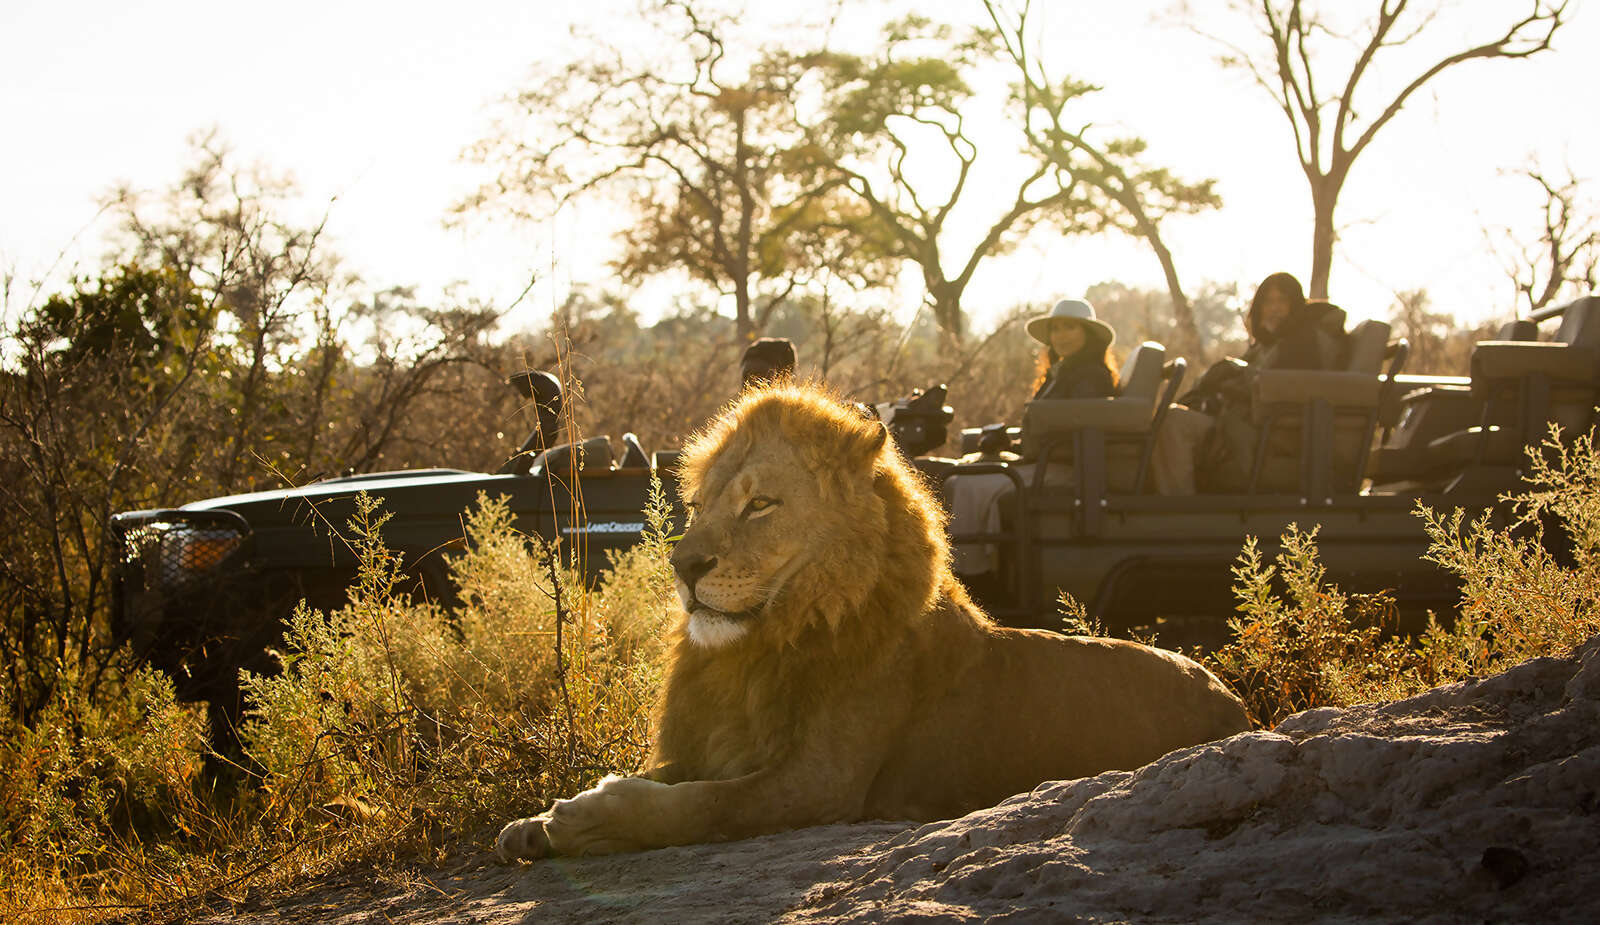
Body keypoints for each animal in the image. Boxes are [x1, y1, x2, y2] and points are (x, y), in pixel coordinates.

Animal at [496, 382, 1250, 861]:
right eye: (700, 504)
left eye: (760, 505)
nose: (681, 566)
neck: (767, 644)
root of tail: (1235, 700)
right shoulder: (721, 743)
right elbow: (667, 780)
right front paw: (531, 822)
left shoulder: (820, 782)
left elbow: (696, 806)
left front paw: (583, 817)